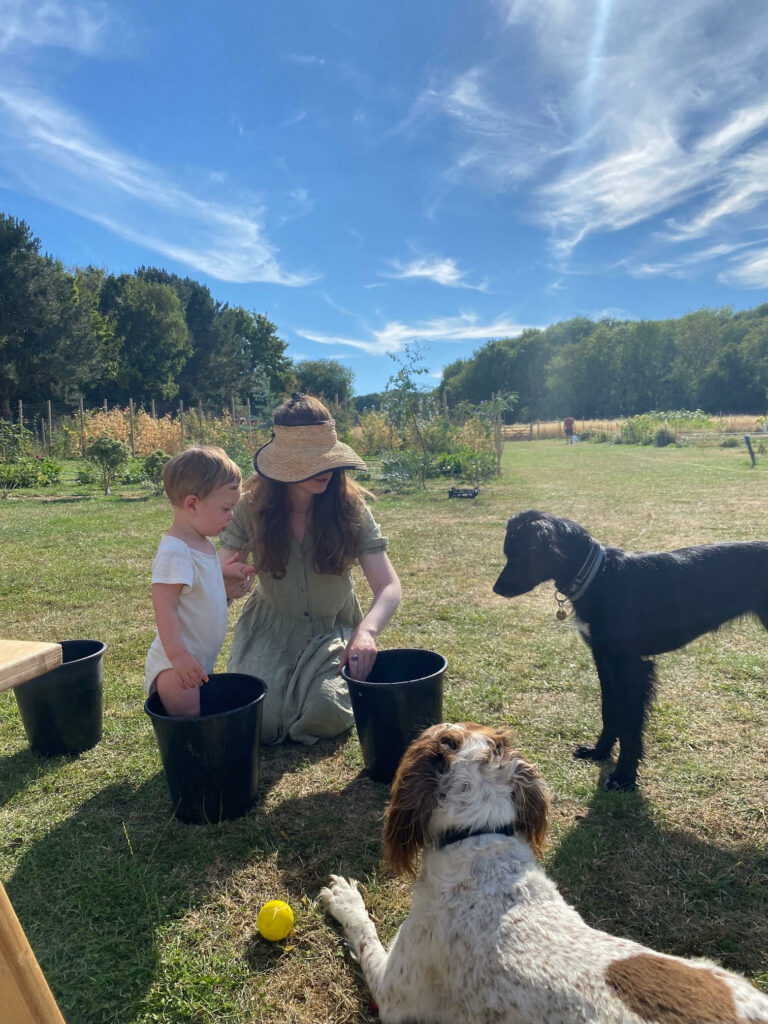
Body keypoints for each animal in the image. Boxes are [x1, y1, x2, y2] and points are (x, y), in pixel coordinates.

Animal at [493, 510, 768, 790]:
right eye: (508, 553)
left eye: (519, 555)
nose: (497, 589)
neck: (598, 576)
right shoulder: (603, 658)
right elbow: (609, 710)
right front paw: (599, 752)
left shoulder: (629, 665)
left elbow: (629, 723)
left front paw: (623, 776)